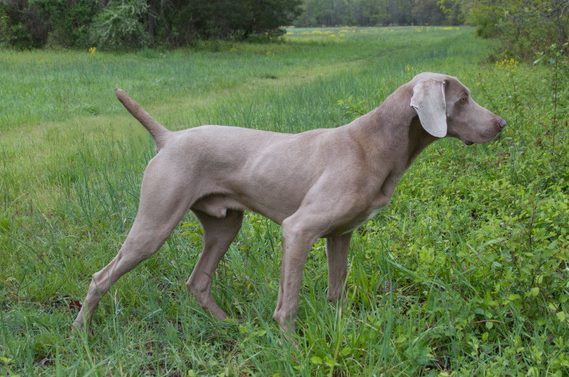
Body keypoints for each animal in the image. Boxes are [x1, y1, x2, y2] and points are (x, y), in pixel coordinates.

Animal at [72, 72, 506, 330]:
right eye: (463, 99)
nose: (501, 124)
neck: (374, 145)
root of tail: (169, 137)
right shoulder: (298, 230)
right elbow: (289, 303)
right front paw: (291, 349)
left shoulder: (340, 234)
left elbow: (336, 290)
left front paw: (337, 331)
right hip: (155, 222)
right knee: (101, 277)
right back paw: (80, 333)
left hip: (225, 224)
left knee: (197, 281)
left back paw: (230, 325)